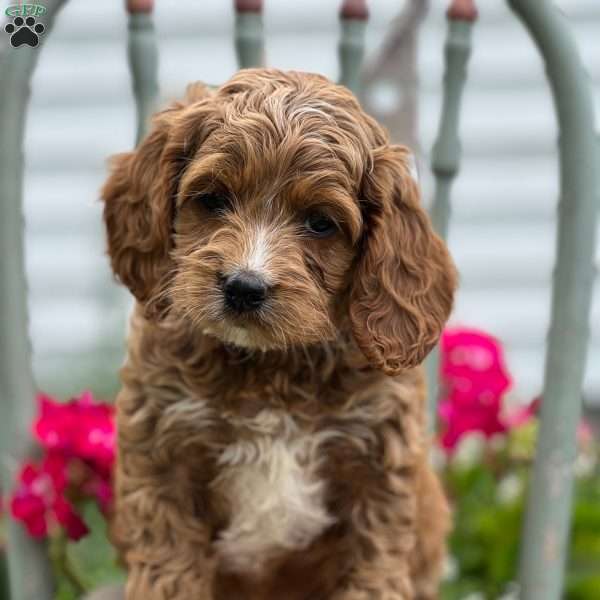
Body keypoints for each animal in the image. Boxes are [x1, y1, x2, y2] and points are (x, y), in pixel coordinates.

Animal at [102, 68, 454, 596]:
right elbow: (170, 570)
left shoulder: (379, 468)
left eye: (321, 223)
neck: (270, 365)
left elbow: (372, 571)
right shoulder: (161, 451)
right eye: (212, 200)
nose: (244, 287)